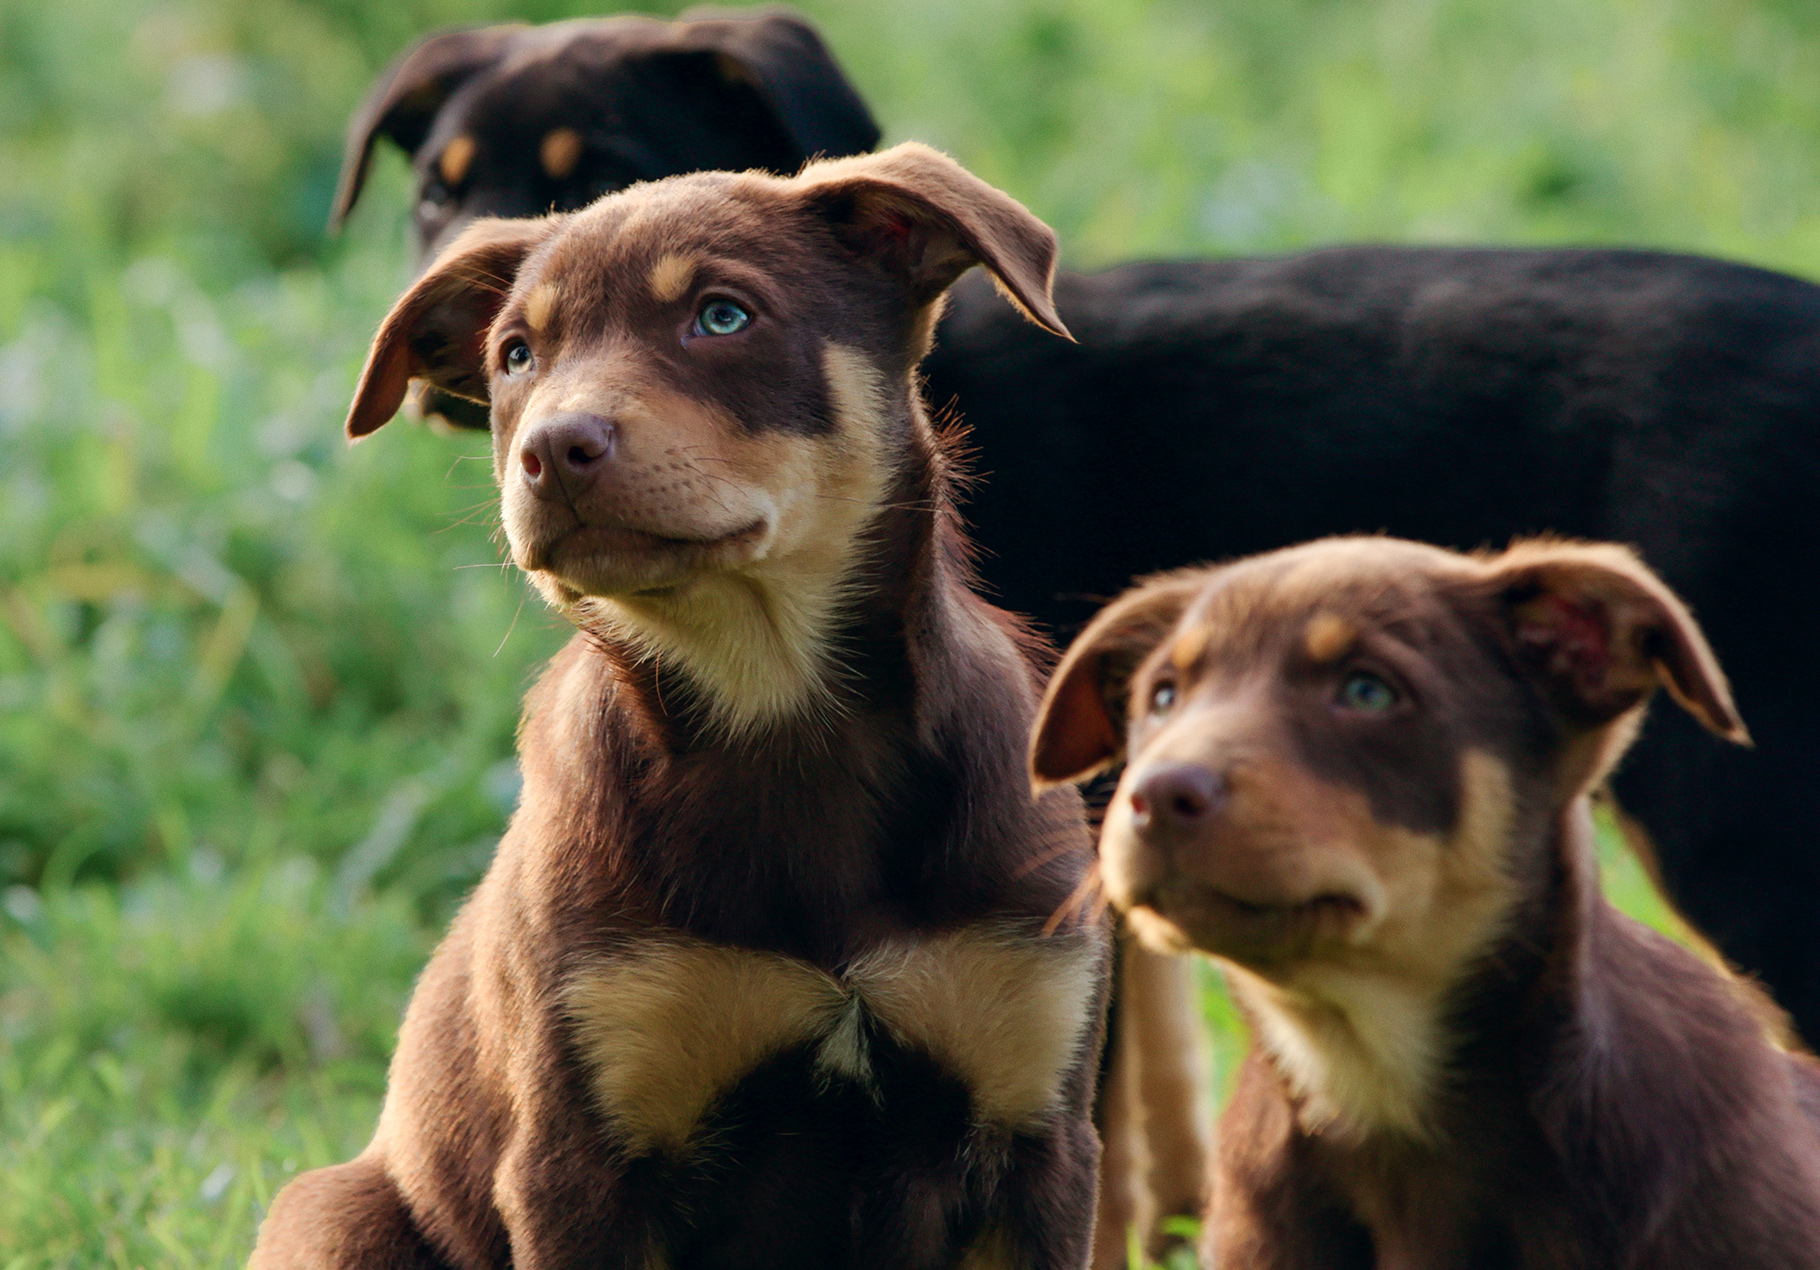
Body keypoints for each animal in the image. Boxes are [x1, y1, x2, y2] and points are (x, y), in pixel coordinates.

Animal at [252, 141, 1106, 1266]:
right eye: (516, 356)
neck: (776, 701)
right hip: (332, 1212)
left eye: (722, 316)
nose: (553, 450)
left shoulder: (1036, 1127)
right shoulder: (580, 1150)